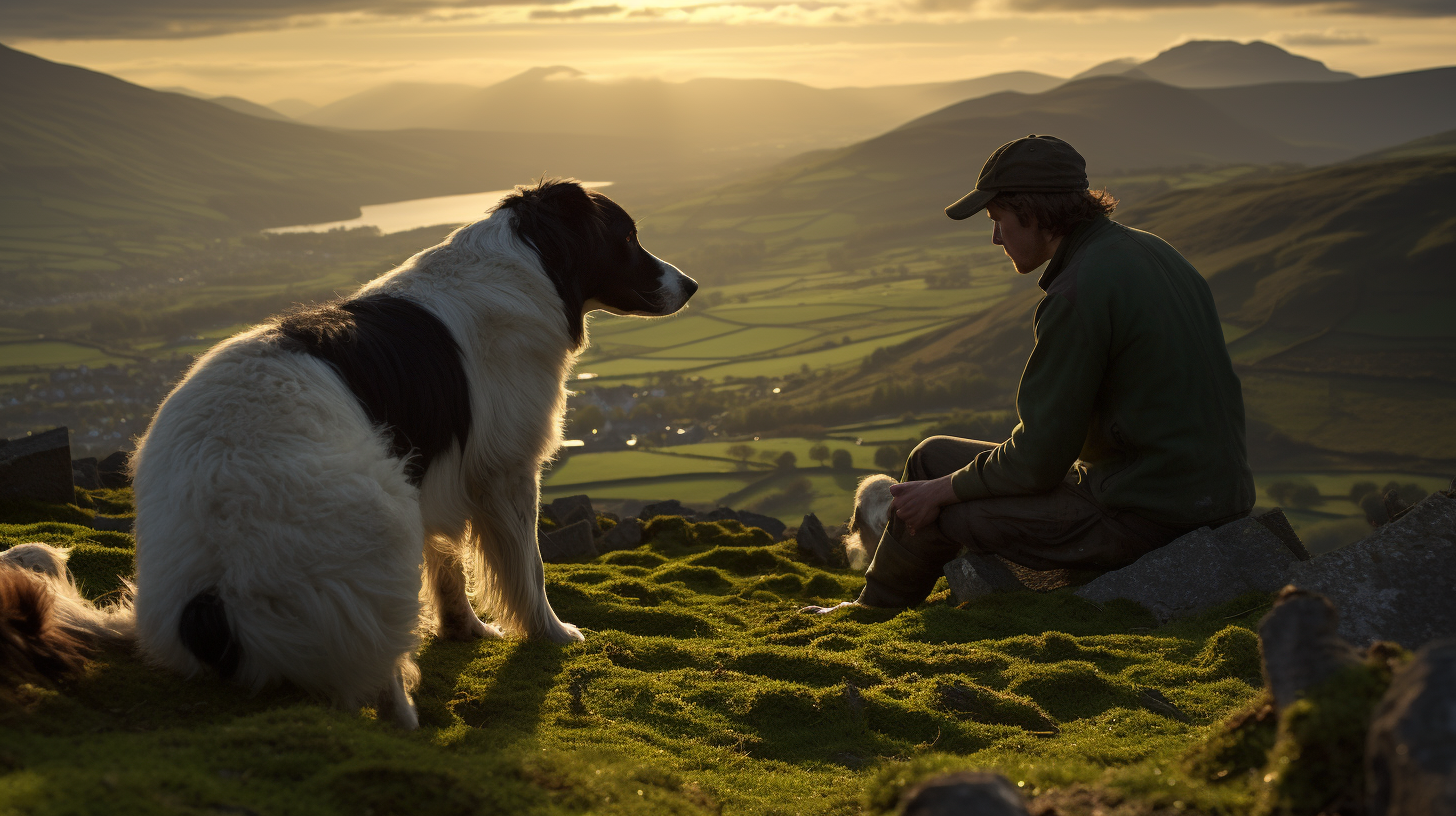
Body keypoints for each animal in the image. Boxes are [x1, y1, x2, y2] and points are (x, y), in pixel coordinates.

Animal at [26, 178, 698, 725]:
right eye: (627, 236)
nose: (691, 284)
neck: (528, 264)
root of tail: (208, 601)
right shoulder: (506, 472)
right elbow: (526, 568)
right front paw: (552, 633)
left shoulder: (435, 467)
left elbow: (447, 562)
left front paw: (463, 629)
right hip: (380, 507)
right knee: (376, 674)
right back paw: (406, 716)